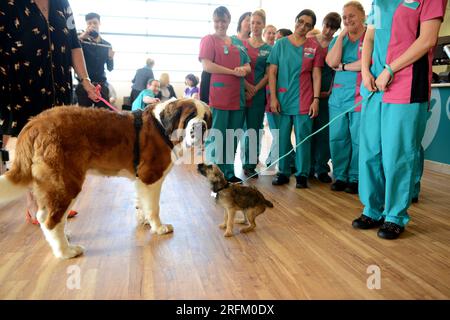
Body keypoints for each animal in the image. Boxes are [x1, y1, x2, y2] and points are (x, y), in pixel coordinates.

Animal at [0, 99, 211, 258]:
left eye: (207, 118)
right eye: (190, 116)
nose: (201, 126)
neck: (162, 127)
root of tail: (34, 123)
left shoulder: (140, 180)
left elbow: (141, 202)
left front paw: (144, 221)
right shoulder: (151, 177)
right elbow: (154, 208)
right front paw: (158, 227)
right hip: (66, 182)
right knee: (48, 219)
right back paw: (66, 251)